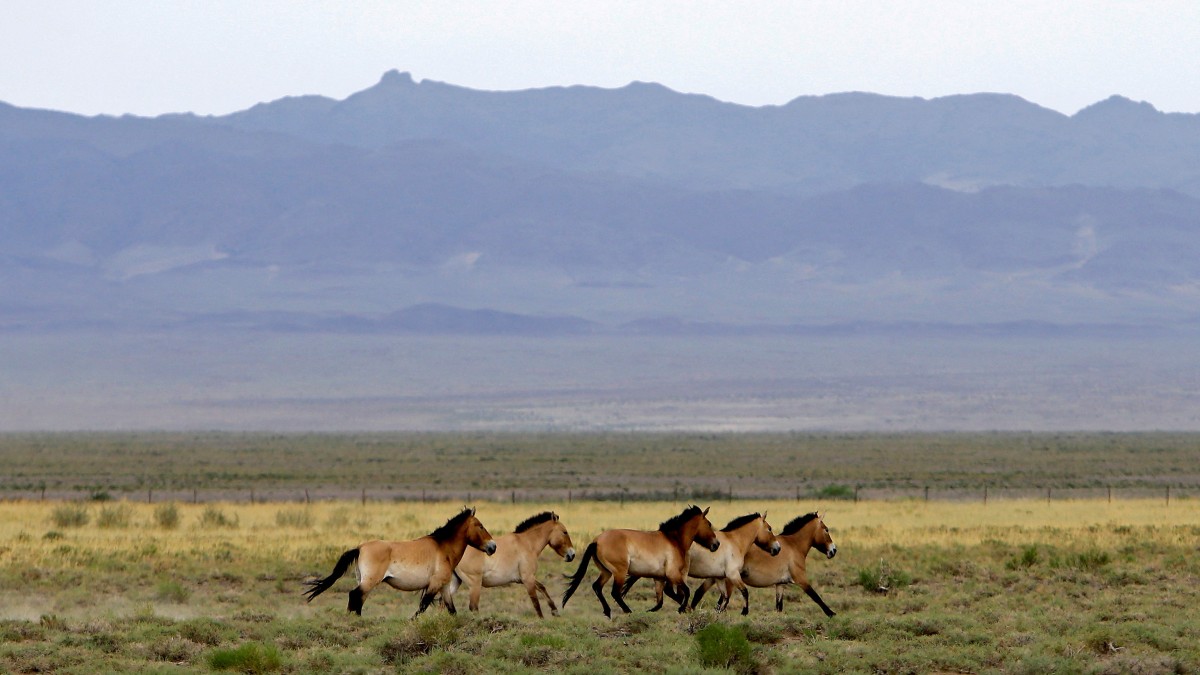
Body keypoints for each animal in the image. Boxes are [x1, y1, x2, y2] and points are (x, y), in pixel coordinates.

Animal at [303, 507, 496, 617]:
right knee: (354, 595)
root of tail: (360, 547)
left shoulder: (444, 586)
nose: (493, 547)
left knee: (359, 599)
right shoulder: (434, 584)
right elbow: (422, 606)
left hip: (364, 581)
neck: (443, 547)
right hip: (370, 581)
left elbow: (451, 610)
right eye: (480, 525)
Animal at [442, 511, 575, 618]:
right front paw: (542, 620)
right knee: (473, 607)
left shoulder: (523, 578)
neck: (527, 544)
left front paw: (555, 611)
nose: (572, 554)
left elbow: (542, 588)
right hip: (474, 585)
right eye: (565, 532)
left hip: (455, 582)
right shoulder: (528, 578)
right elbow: (536, 602)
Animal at [561, 505, 720, 618]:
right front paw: (682, 609)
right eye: (709, 524)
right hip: (619, 572)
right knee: (615, 592)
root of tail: (596, 541)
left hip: (606, 572)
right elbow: (685, 591)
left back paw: (608, 612)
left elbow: (662, 600)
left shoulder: (660, 578)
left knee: (597, 587)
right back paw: (628, 611)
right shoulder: (673, 574)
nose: (716, 544)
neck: (674, 540)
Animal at [620, 512, 781, 615]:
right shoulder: (732, 574)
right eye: (769, 529)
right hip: (679, 573)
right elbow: (744, 592)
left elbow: (722, 596)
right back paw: (683, 608)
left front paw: (718, 611)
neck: (735, 541)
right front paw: (744, 611)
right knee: (672, 591)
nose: (777, 548)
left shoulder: (718, 577)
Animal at [697, 511, 837, 616]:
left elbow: (779, 606)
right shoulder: (801, 580)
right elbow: (816, 597)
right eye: (826, 530)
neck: (794, 545)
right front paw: (831, 613)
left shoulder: (780, 584)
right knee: (721, 603)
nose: (833, 550)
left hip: (715, 577)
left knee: (701, 593)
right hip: (730, 581)